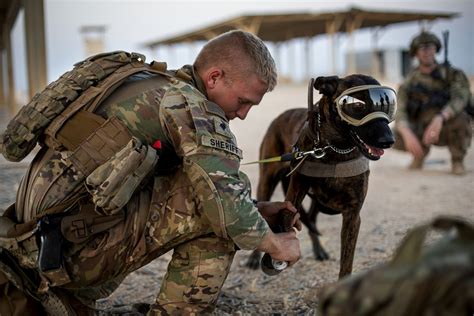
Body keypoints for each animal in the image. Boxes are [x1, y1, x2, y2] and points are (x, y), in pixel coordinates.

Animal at [248, 75, 396, 278]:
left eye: (386, 105)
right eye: (358, 105)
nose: (389, 141)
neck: (336, 149)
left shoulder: (352, 215)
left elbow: (346, 261)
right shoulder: (294, 196)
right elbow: (284, 224)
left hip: (318, 202)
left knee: (312, 219)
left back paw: (318, 250)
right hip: (267, 182)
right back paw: (254, 258)